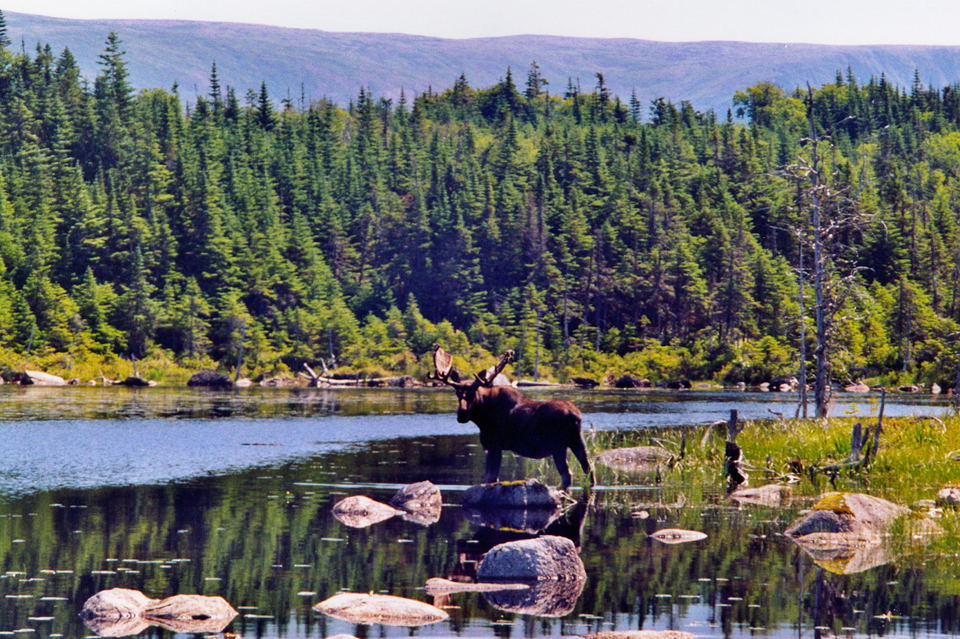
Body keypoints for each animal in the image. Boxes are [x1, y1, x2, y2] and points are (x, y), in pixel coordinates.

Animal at [434, 348, 592, 492]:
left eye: (474, 393)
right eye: (457, 393)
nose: (462, 415)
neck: (482, 419)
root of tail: (576, 416)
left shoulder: (494, 445)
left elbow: (490, 478)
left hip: (558, 446)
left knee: (567, 474)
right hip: (578, 441)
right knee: (588, 469)